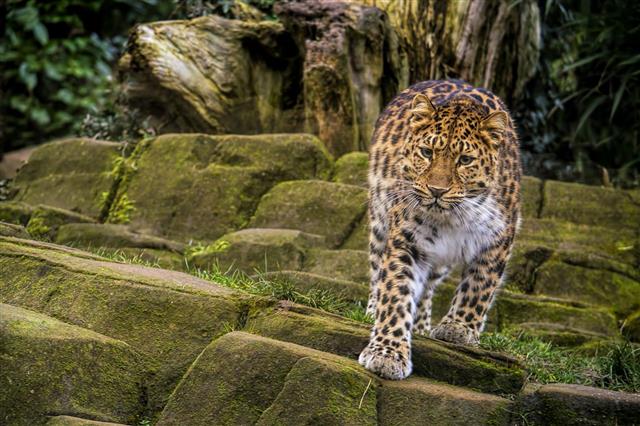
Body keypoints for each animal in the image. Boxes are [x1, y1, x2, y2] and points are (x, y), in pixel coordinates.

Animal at [358, 79, 521, 380]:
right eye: (427, 152)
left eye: (465, 160)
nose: (436, 190)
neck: (453, 217)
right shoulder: (406, 240)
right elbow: (396, 293)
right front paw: (387, 352)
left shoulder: (499, 237)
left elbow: (479, 286)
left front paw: (459, 328)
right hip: (379, 222)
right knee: (377, 270)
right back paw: (374, 310)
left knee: (429, 287)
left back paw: (422, 325)